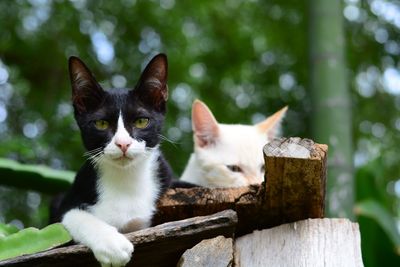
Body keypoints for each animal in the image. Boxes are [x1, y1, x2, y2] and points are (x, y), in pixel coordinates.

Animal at [50, 53, 173, 266]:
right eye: (101, 123)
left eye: (141, 121)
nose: (123, 143)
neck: (125, 180)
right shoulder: (67, 201)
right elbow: (71, 215)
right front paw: (112, 244)